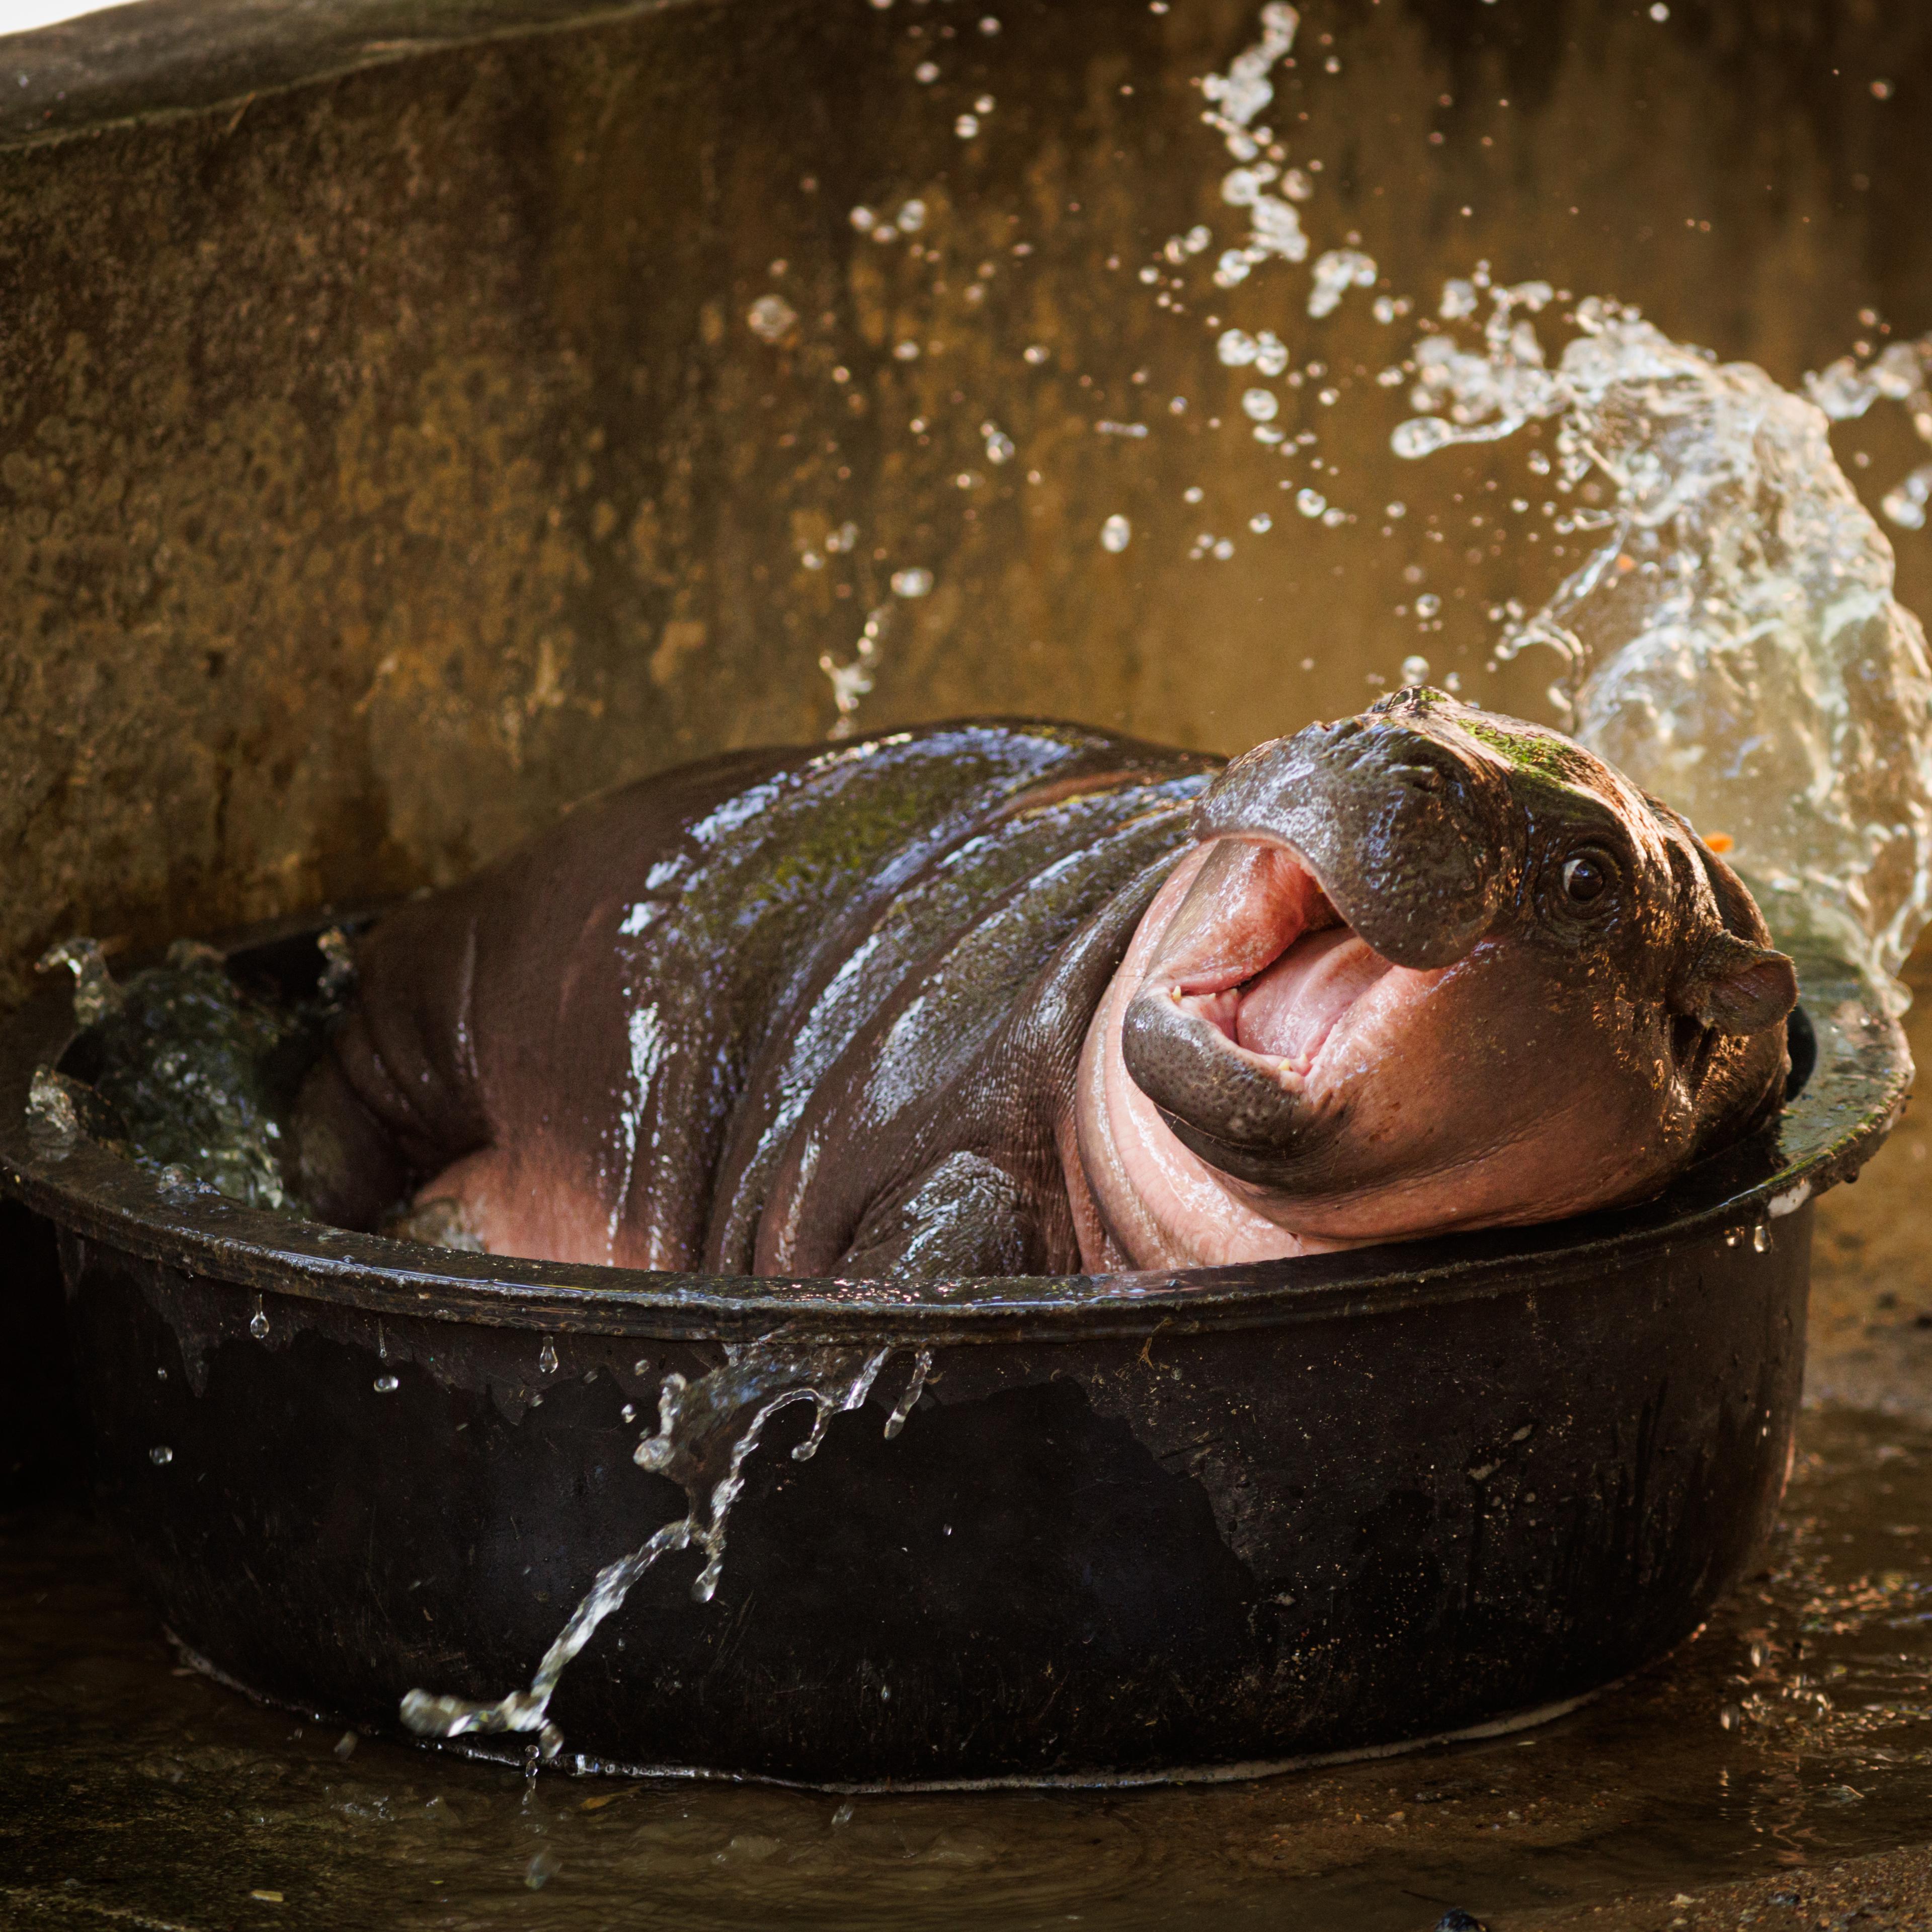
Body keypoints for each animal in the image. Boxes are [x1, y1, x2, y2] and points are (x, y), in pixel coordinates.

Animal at [287, 689, 1798, 1280]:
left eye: (1591, 878)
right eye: (1403, 692)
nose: (1392, 748)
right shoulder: (940, 1122)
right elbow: (936, 1226)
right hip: (433, 1022)